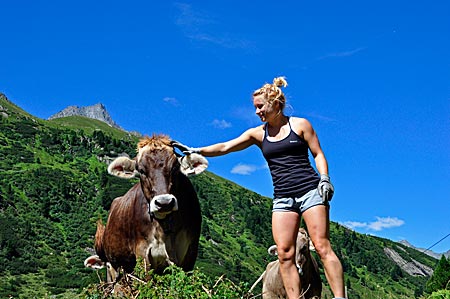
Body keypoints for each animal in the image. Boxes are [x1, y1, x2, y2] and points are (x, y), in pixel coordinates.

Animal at [84, 136, 207, 282]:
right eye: (141, 171)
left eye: (175, 168)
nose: (164, 202)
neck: (163, 225)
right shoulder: (142, 252)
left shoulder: (189, 253)